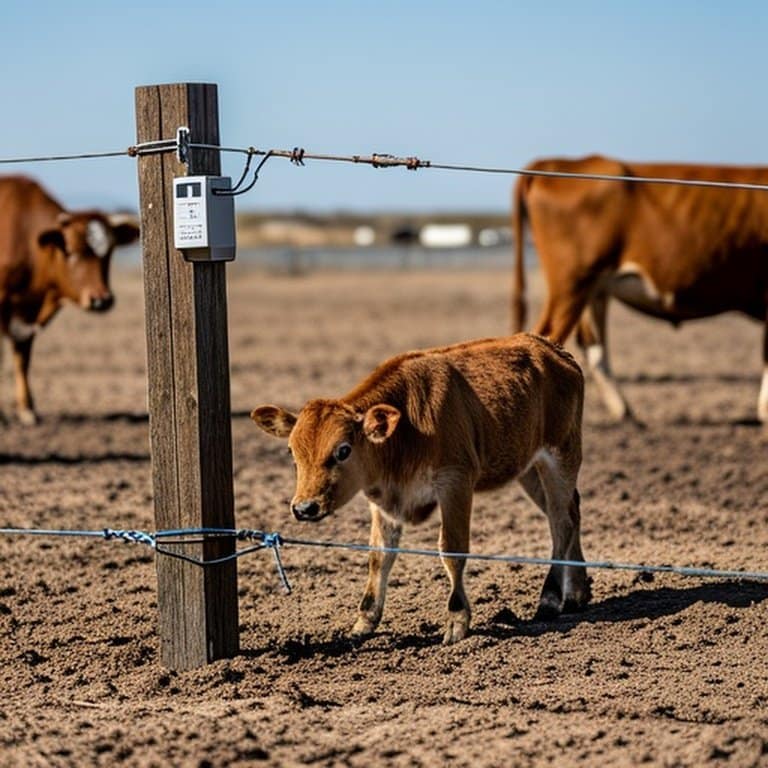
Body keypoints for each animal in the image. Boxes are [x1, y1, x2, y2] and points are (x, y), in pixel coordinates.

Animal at [0, 175, 139, 424]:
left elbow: (23, 358)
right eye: (72, 251)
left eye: (109, 252)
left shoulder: (26, 317)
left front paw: (27, 409)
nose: (101, 300)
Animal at [251, 333, 590, 644]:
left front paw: (457, 619)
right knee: (569, 513)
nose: (304, 508)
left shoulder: (455, 481)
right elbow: (379, 556)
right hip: (529, 468)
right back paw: (576, 593)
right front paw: (365, 620)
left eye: (343, 450)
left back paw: (550, 598)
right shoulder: (383, 500)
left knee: (561, 523)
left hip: (560, 456)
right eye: (292, 452)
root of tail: (552, 349)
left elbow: (452, 549)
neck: (408, 429)